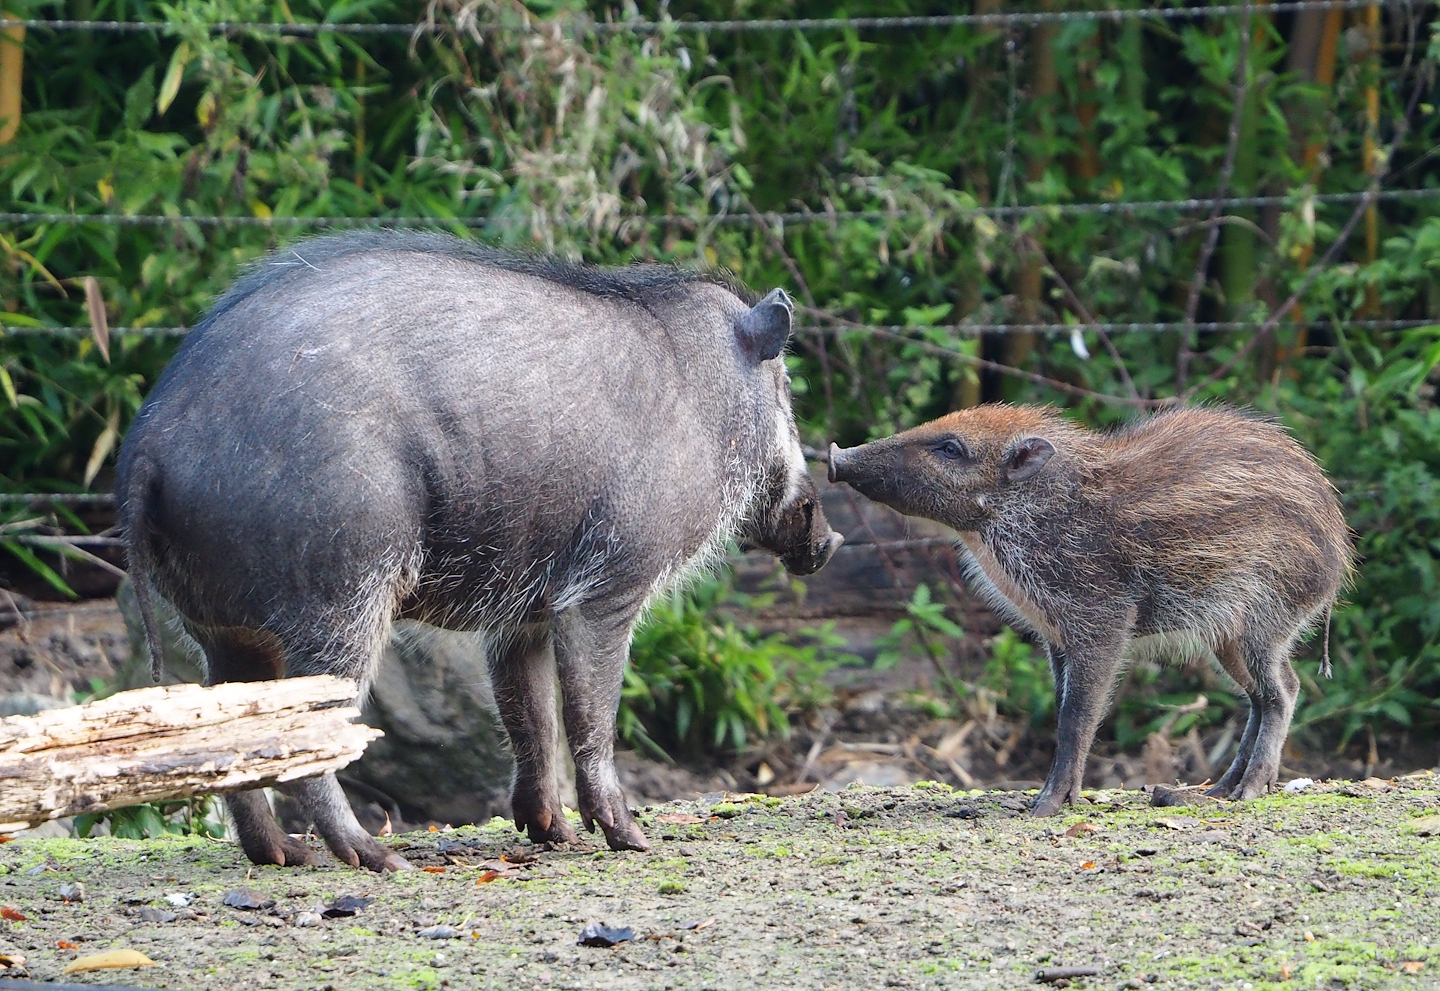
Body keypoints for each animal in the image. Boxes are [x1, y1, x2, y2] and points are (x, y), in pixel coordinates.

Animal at [116, 231, 842, 870]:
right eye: (785, 390)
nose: (828, 538)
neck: (705, 400)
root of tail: (153, 439)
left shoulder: (524, 611)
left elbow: (530, 714)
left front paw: (553, 835)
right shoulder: (609, 585)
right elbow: (590, 713)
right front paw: (632, 840)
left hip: (223, 632)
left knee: (237, 741)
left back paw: (284, 855)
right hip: (338, 597)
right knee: (308, 743)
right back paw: (377, 859)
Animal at [827, 404, 1351, 816]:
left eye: (951, 448)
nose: (835, 456)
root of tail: (1339, 557)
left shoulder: (1101, 621)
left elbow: (1076, 716)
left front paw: (1045, 808)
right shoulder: (1056, 635)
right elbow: (1064, 708)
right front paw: (1061, 799)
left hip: (1265, 619)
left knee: (1283, 690)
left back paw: (1249, 790)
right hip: (1227, 637)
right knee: (1266, 695)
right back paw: (1216, 790)